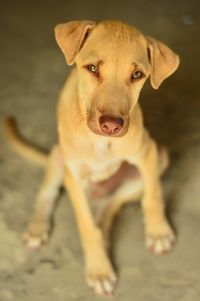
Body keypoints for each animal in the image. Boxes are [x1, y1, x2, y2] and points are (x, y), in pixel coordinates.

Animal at [4, 19, 180, 294]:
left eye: (137, 75)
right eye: (93, 68)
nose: (111, 125)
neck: (100, 141)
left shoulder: (148, 153)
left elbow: (153, 196)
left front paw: (158, 232)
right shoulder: (74, 177)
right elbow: (86, 227)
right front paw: (99, 270)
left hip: (156, 161)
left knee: (110, 205)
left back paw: (106, 237)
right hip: (58, 156)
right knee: (47, 194)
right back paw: (37, 228)